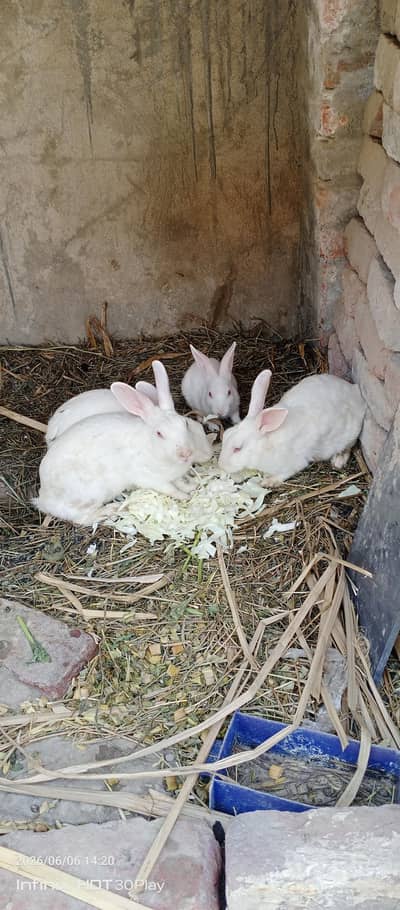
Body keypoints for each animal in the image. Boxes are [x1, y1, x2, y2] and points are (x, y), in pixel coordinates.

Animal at [32, 361, 198, 526]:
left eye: (185, 424)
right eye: (159, 434)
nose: (186, 453)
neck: (151, 446)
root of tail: (44, 499)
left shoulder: (174, 475)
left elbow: (180, 482)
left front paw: (192, 486)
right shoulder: (149, 478)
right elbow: (170, 489)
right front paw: (185, 497)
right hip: (91, 495)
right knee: (81, 518)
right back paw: (110, 510)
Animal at [218, 369, 366, 486]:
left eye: (238, 449)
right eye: (225, 435)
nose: (221, 465)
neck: (265, 444)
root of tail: (354, 390)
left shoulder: (293, 463)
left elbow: (284, 473)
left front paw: (268, 481)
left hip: (349, 435)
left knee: (349, 447)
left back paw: (338, 461)